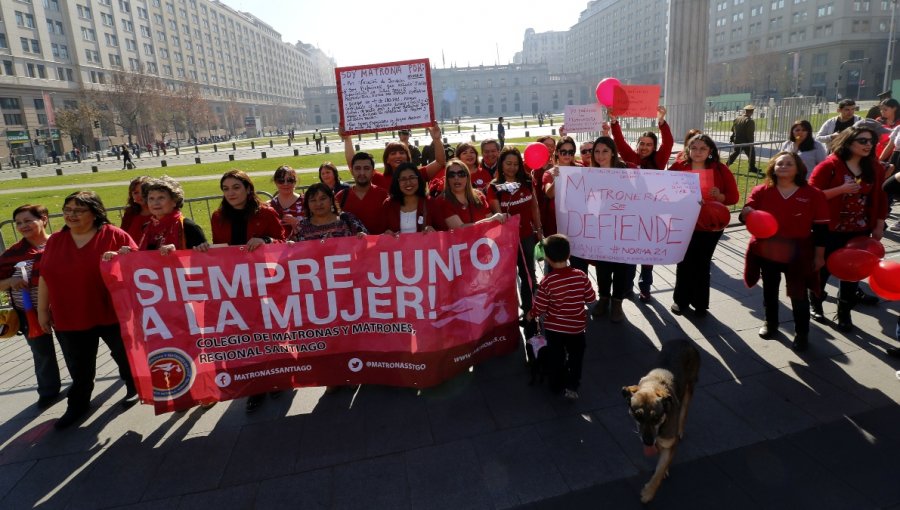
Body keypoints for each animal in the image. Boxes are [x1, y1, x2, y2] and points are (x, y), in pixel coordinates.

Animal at [624, 340, 700, 504]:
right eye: (637, 416)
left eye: (656, 417)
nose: (647, 442)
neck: (654, 386)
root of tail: (684, 340)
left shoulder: (669, 442)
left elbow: (659, 472)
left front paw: (648, 493)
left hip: (690, 388)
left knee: (684, 412)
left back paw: (680, 429)